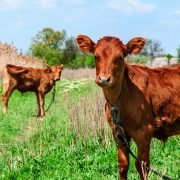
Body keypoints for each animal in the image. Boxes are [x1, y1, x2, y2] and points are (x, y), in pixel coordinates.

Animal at [76, 34, 179, 179]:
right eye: (96, 56)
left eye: (120, 57)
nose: (104, 79)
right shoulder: (118, 133)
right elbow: (123, 165)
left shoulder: (144, 131)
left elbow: (142, 166)